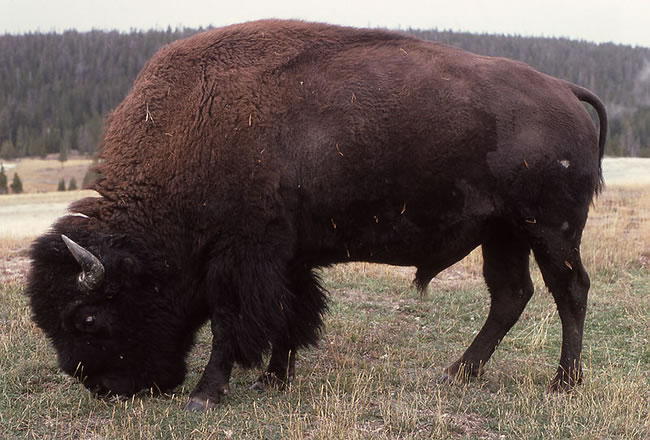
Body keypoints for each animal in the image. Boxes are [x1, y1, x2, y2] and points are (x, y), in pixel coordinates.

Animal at [25, 18, 604, 410]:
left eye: (87, 317)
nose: (103, 388)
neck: (192, 127)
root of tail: (566, 90)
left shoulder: (241, 256)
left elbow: (232, 321)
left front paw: (207, 394)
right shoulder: (289, 257)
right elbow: (292, 313)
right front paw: (272, 378)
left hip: (550, 228)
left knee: (569, 290)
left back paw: (563, 382)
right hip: (502, 231)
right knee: (511, 295)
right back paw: (457, 374)